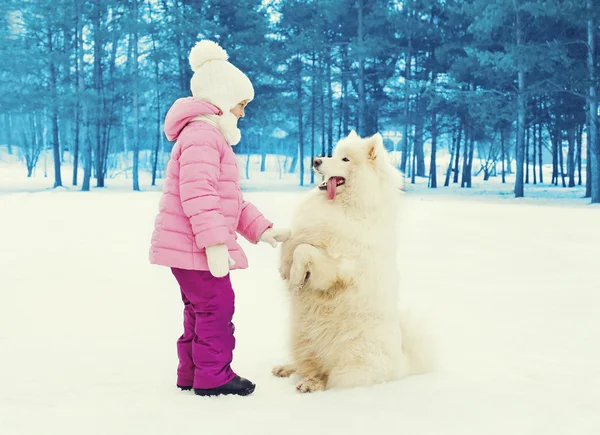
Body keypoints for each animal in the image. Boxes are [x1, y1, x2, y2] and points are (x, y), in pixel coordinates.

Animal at [274, 131, 434, 394]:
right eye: (333, 154)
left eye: (345, 159)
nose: (315, 160)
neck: (349, 207)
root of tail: (403, 365)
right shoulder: (308, 229)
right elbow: (292, 239)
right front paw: (284, 267)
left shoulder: (336, 269)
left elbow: (304, 250)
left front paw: (296, 278)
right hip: (301, 339)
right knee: (309, 365)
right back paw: (287, 369)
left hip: (348, 360)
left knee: (328, 378)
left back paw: (311, 384)